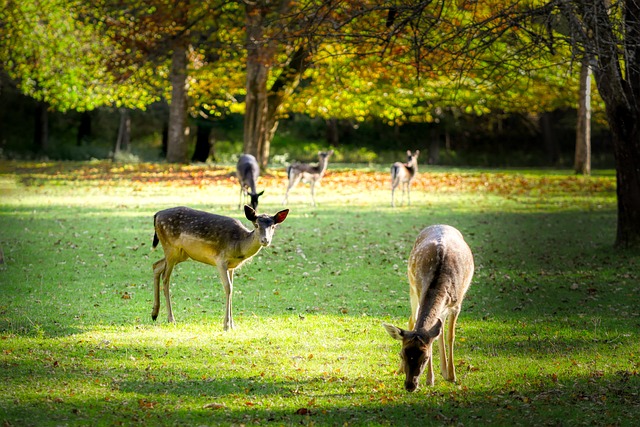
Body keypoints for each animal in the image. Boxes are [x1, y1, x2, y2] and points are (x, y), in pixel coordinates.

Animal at [151, 204, 288, 332]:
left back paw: (154, 314)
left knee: (156, 265)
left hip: (181, 254)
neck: (238, 246)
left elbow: (232, 288)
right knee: (166, 278)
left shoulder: (232, 267)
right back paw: (171, 319)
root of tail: (157, 214)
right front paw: (226, 326)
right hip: (170, 247)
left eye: (273, 226)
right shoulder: (220, 260)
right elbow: (228, 288)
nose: (265, 240)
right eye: (256, 225)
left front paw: (232, 325)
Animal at [382, 226, 472, 392]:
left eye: (425, 358)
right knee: (412, 320)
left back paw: (445, 371)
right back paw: (400, 370)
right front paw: (430, 379)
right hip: (412, 288)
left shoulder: (456, 305)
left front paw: (452, 375)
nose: (410, 385)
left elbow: (450, 336)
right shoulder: (419, 291)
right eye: (401, 354)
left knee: (439, 330)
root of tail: (442, 224)